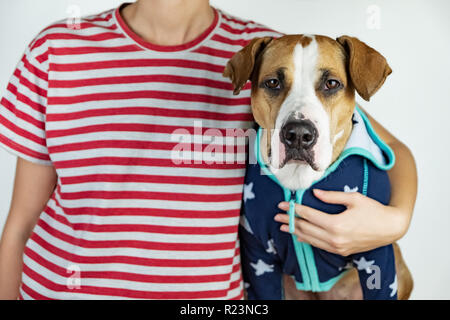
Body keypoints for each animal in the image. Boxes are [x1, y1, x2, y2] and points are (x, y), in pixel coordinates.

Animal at [223, 35, 414, 300]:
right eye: (273, 82)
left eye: (331, 83)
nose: (298, 135)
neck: (298, 181)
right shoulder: (258, 256)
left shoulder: (375, 250)